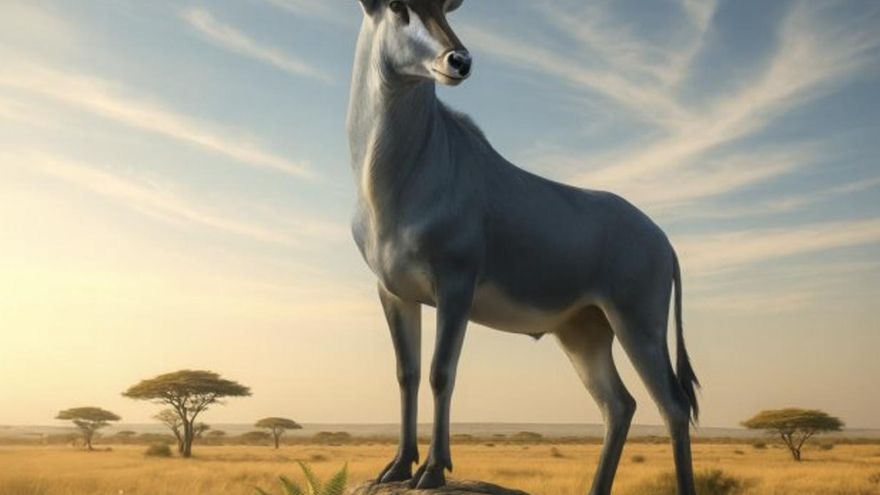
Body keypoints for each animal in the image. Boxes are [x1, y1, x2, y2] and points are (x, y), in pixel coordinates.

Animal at [346, 1, 699, 494]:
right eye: (398, 7)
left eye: (444, 9)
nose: (459, 61)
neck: (403, 175)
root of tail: (663, 240)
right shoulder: (395, 293)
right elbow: (407, 374)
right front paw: (397, 467)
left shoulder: (455, 288)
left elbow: (440, 373)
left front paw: (432, 470)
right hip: (583, 333)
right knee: (619, 405)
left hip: (638, 325)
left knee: (672, 406)